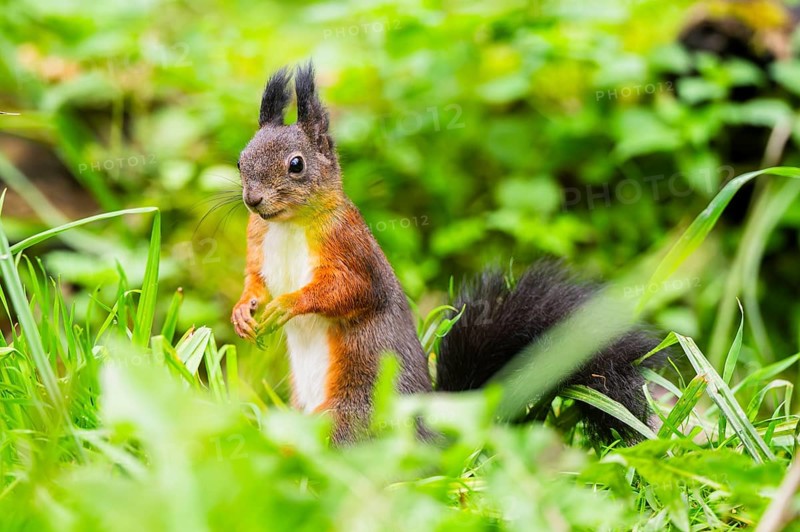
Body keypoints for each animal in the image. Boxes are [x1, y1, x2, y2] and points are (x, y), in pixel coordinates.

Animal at [232, 63, 664, 445]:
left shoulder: (352, 250)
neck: (288, 225)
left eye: (296, 165)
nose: (253, 200)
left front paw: (287, 304)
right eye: (240, 159)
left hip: (353, 411)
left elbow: (350, 290)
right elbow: (254, 279)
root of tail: (434, 436)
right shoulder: (256, 241)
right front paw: (243, 311)